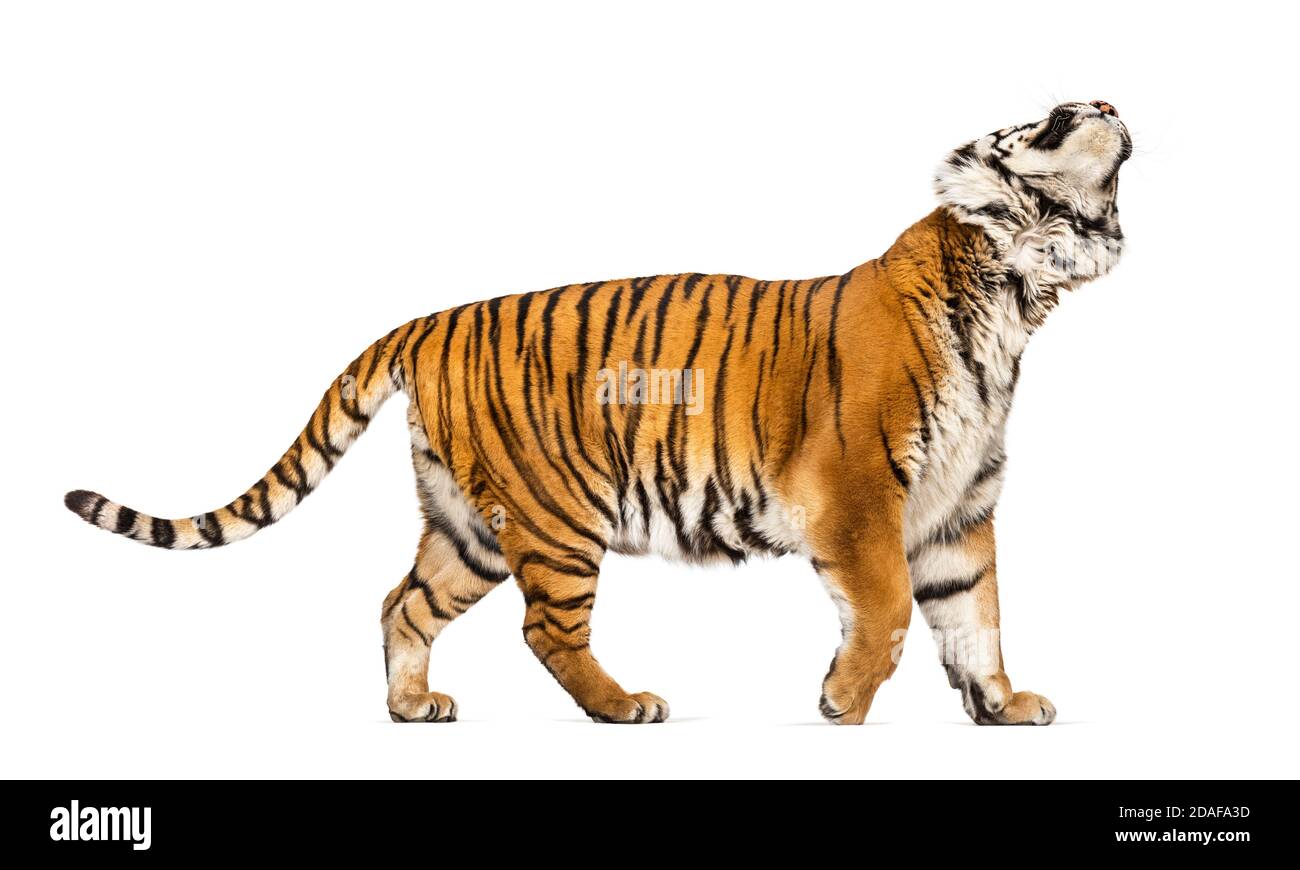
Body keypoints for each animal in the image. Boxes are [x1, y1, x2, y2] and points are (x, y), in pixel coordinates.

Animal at [65, 100, 1130, 725]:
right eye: (1052, 111)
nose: (1110, 102)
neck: (1015, 290)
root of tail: (426, 320)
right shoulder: (859, 493)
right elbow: (893, 605)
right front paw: (842, 700)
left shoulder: (958, 508)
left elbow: (976, 613)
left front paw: (1003, 706)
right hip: (558, 518)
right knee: (546, 633)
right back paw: (624, 707)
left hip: (470, 526)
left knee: (402, 601)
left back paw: (414, 708)